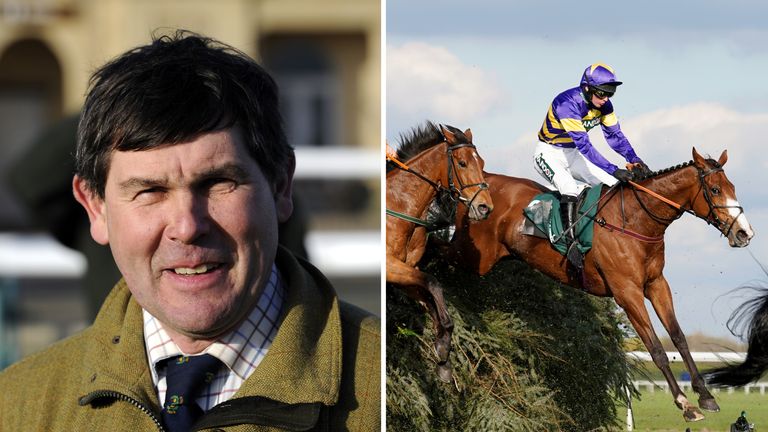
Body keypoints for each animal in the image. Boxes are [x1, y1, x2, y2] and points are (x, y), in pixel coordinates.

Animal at [388, 120, 496, 382]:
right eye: (462, 163)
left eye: (482, 164)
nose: (485, 208)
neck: (399, 205)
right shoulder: (389, 265)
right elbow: (433, 283)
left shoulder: (403, 272)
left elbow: (431, 299)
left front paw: (444, 354)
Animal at [450, 148, 756, 422]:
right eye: (715, 190)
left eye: (732, 187)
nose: (745, 233)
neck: (636, 220)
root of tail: (479, 184)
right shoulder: (627, 292)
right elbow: (656, 348)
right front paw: (685, 404)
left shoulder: (656, 284)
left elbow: (678, 338)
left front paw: (705, 395)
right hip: (472, 256)